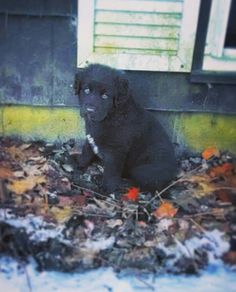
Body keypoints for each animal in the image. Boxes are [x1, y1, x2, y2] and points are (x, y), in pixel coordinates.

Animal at [74, 62, 177, 193]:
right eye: (86, 90)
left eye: (105, 96)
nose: (89, 110)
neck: (111, 115)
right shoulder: (91, 136)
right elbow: (86, 150)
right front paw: (80, 163)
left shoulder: (116, 150)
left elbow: (111, 170)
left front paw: (109, 187)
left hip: (148, 168)